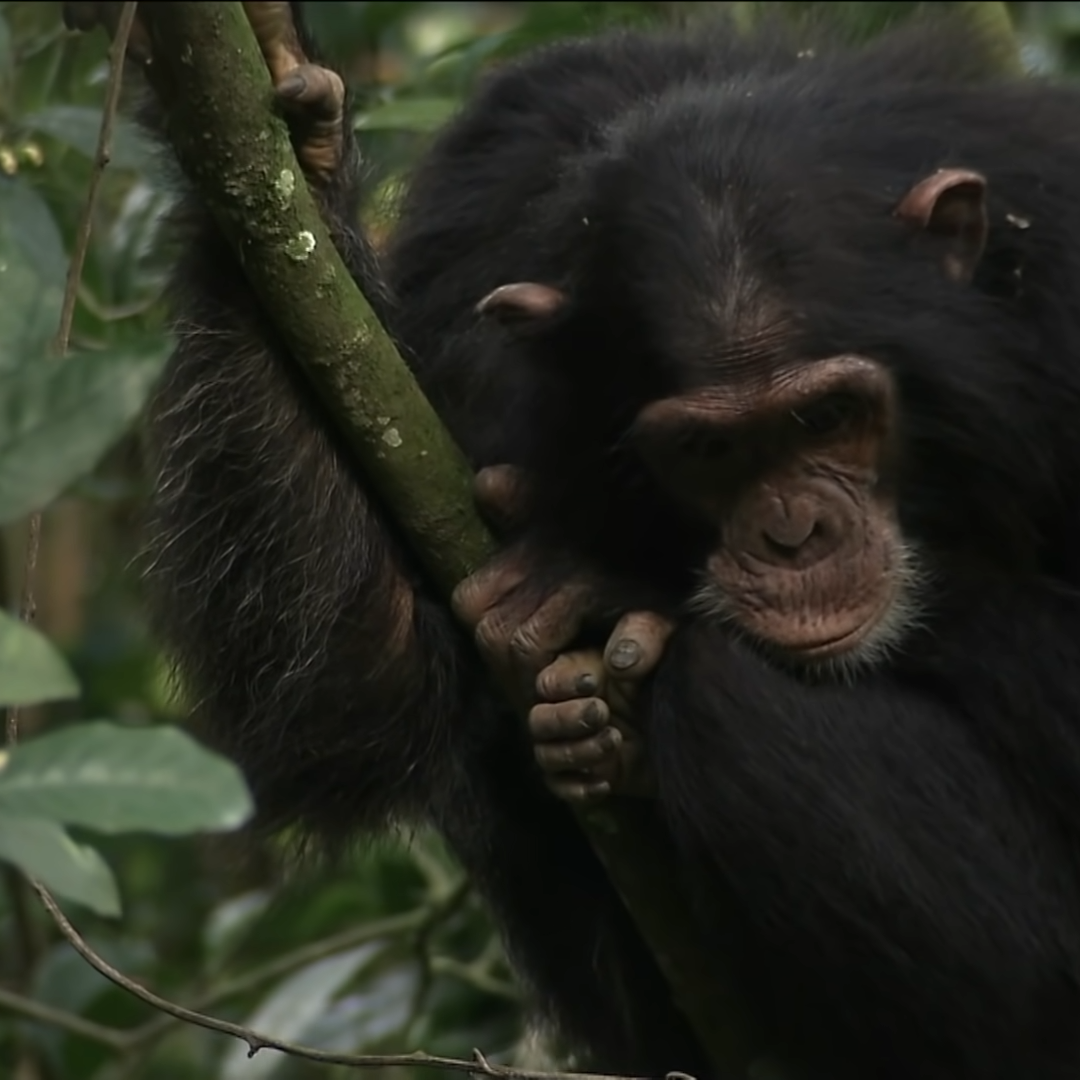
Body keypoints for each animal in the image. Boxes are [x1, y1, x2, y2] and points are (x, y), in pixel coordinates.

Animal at [65, 2, 1080, 1080]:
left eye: (829, 416)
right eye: (708, 448)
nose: (794, 533)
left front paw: (608, 580)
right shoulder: (469, 265)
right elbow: (356, 679)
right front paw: (298, 148)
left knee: (725, 696)